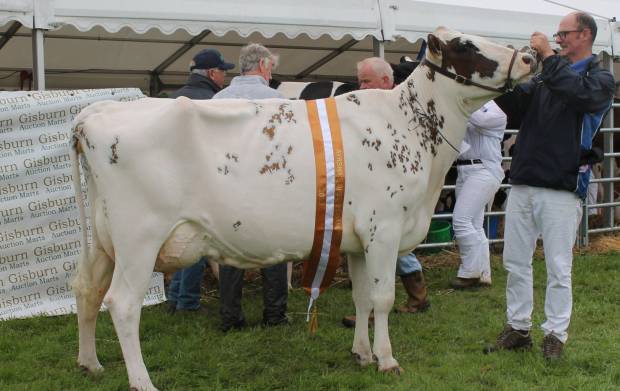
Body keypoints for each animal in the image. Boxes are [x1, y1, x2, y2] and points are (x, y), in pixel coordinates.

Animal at [70, 26, 536, 390]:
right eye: (467, 46)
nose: (531, 56)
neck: (409, 127)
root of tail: (97, 111)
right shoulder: (384, 229)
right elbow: (383, 298)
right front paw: (387, 359)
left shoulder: (356, 239)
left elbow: (363, 298)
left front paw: (361, 353)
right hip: (139, 238)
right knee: (122, 303)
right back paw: (141, 381)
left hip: (104, 239)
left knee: (87, 290)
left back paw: (90, 364)